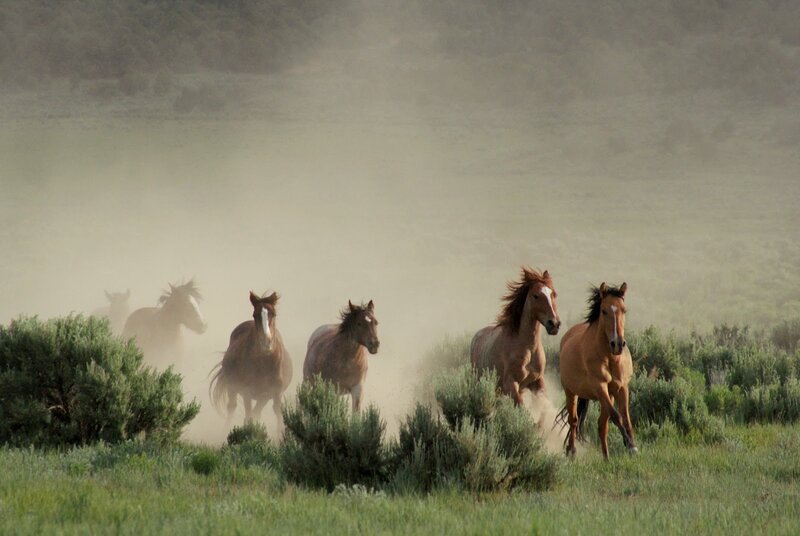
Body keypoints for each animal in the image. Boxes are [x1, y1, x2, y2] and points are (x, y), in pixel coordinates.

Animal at [209, 291, 292, 428]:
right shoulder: (246, 393)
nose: (266, 343)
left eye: (273, 314)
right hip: (233, 388)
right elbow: (248, 415)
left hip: (264, 397)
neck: (265, 364)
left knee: (256, 411)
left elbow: (278, 416)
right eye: (255, 315)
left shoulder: (276, 393)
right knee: (232, 407)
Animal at [470, 267, 561, 408]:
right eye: (536, 295)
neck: (529, 348)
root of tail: (476, 336)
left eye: (553, 294)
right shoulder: (511, 384)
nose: (554, 324)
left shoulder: (537, 381)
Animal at [557, 282, 637, 459]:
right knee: (573, 420)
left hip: (608, 395)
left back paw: (606, 458)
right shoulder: (600, 386)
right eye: (604, 311)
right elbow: (617, 416)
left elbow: (626, 418)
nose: (617, 344)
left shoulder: (622, 388)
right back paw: (572, 451)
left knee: (602, 425)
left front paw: (632, 444)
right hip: (570, 392)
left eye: (624, 310)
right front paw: (629, 444)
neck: (610, 358)